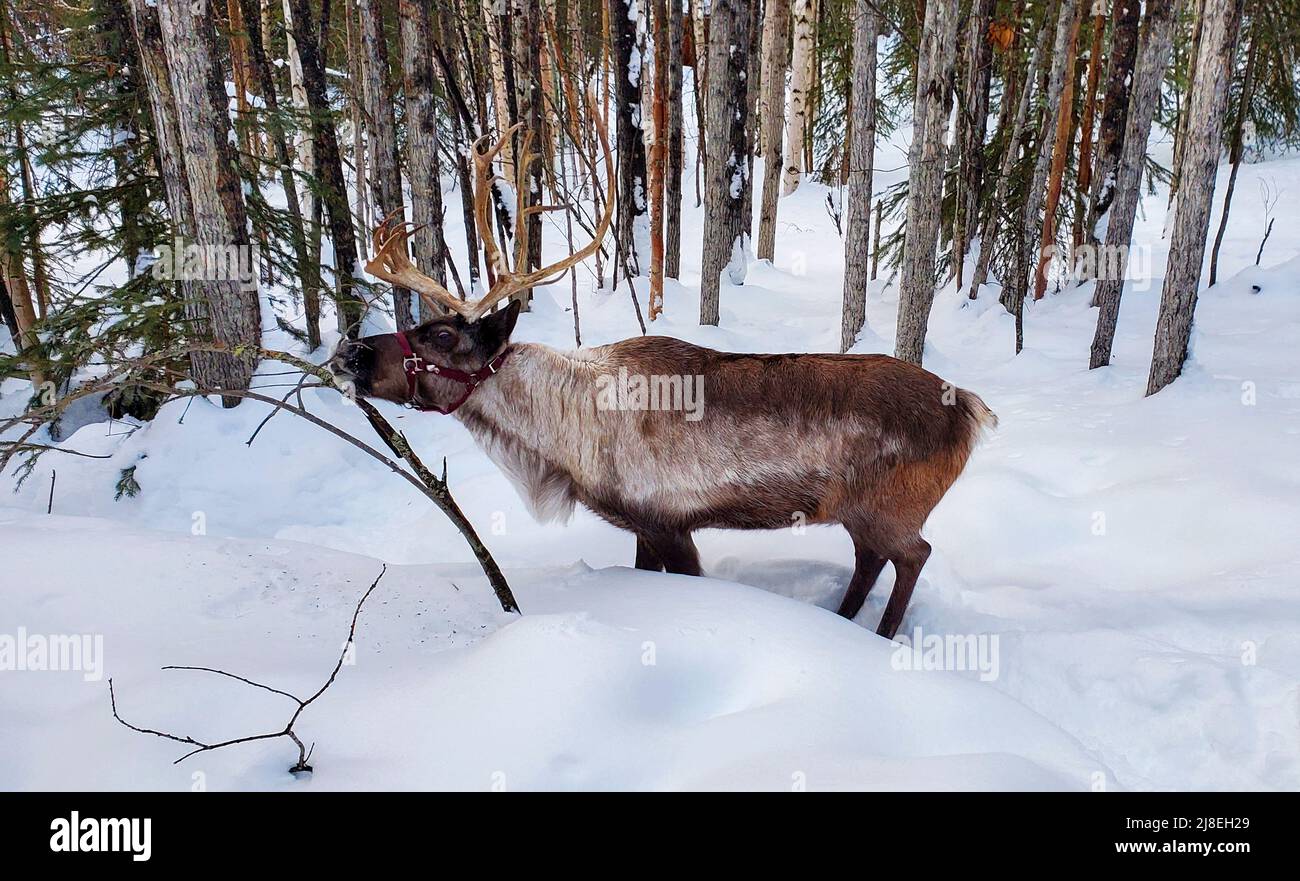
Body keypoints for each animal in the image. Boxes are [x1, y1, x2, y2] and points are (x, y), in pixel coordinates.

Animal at [328, 101, 996, 640]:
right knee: (871, 560)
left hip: (891, 508)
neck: (565, 437)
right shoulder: (641, 527)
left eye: (442, 335)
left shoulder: (669, 522)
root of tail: (969, 407)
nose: (346, 354)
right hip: (860, 511)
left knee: (913, 555)